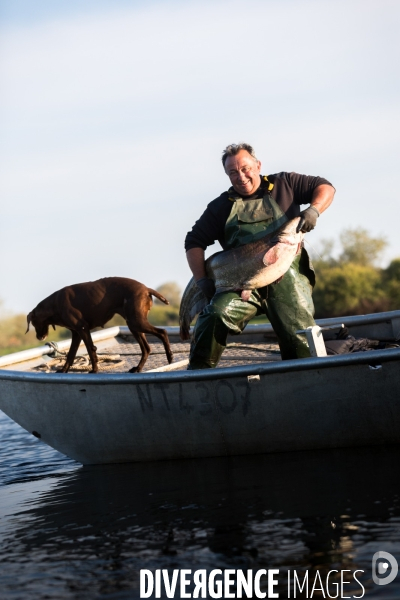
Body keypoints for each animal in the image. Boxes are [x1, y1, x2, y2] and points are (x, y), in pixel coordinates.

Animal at [26, 278, 173, 372]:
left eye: (33, 323)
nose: (39, 337)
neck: (55, 304)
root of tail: (147, 289)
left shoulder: (82, 329)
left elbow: (91, 350)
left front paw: (94, 370)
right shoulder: (77, 333)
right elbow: (72, 354)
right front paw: (63, 371)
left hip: (136, 323)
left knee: (162, 332)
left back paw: (170, 357)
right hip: (134, 325)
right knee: (146, 349)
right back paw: (137, 368)